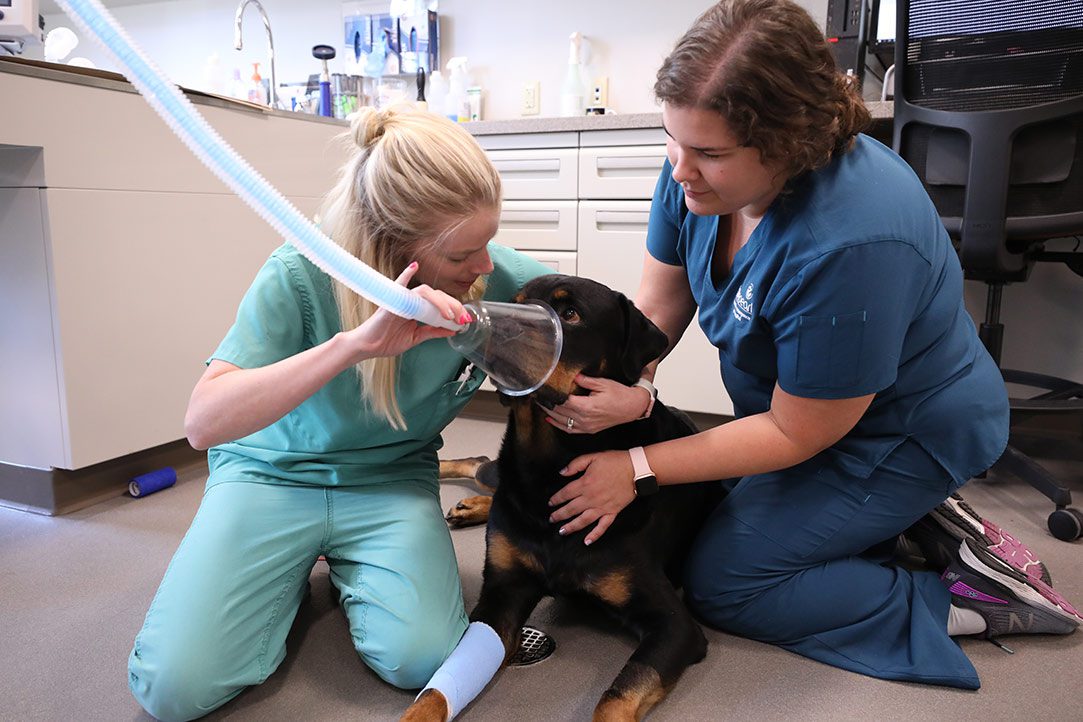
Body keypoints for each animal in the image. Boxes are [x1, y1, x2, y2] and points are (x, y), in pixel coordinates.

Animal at [409, 277, 723, 722]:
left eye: (570, 314)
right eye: (516, 305)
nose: (500, 332)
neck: (548, 465)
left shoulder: (674, 625)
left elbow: (616, 697)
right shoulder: (503, 592)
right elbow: (437, 690)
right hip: (498, 476)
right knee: (484, 467)